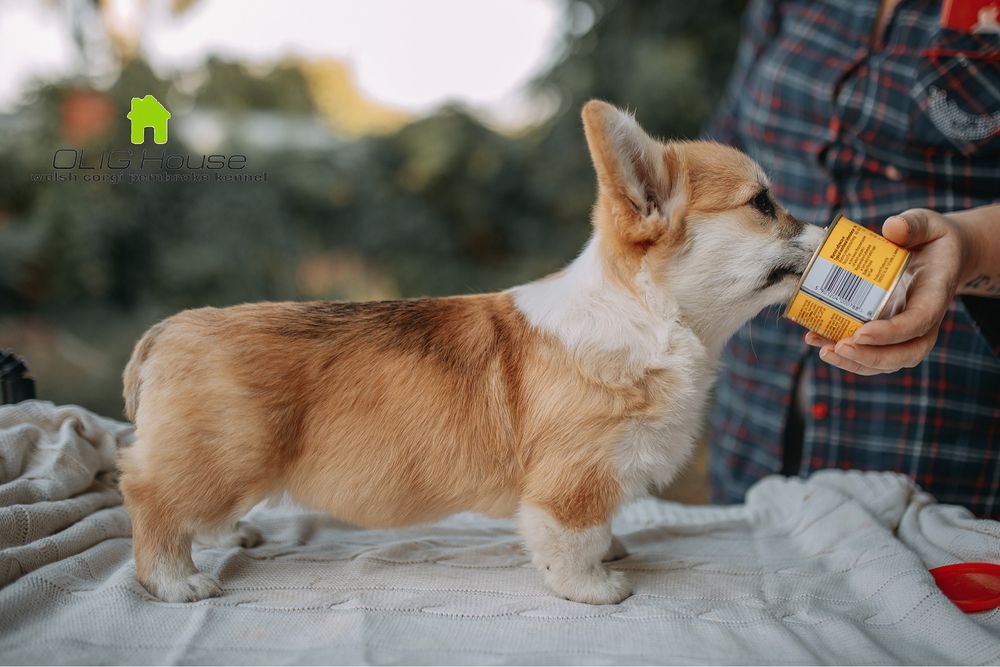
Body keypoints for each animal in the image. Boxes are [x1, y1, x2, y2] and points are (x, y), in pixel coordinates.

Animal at [117, 99, 824, 604]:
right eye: (764, 204)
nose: (830, 228)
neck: (652, 320)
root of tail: (165, 332)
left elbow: (601, 530)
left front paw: (612, 551)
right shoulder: (574, 479)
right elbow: (572, 539)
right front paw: (595, 586)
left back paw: (230, 532)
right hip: (223, 455)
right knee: (149, 496)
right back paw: (176, 579)